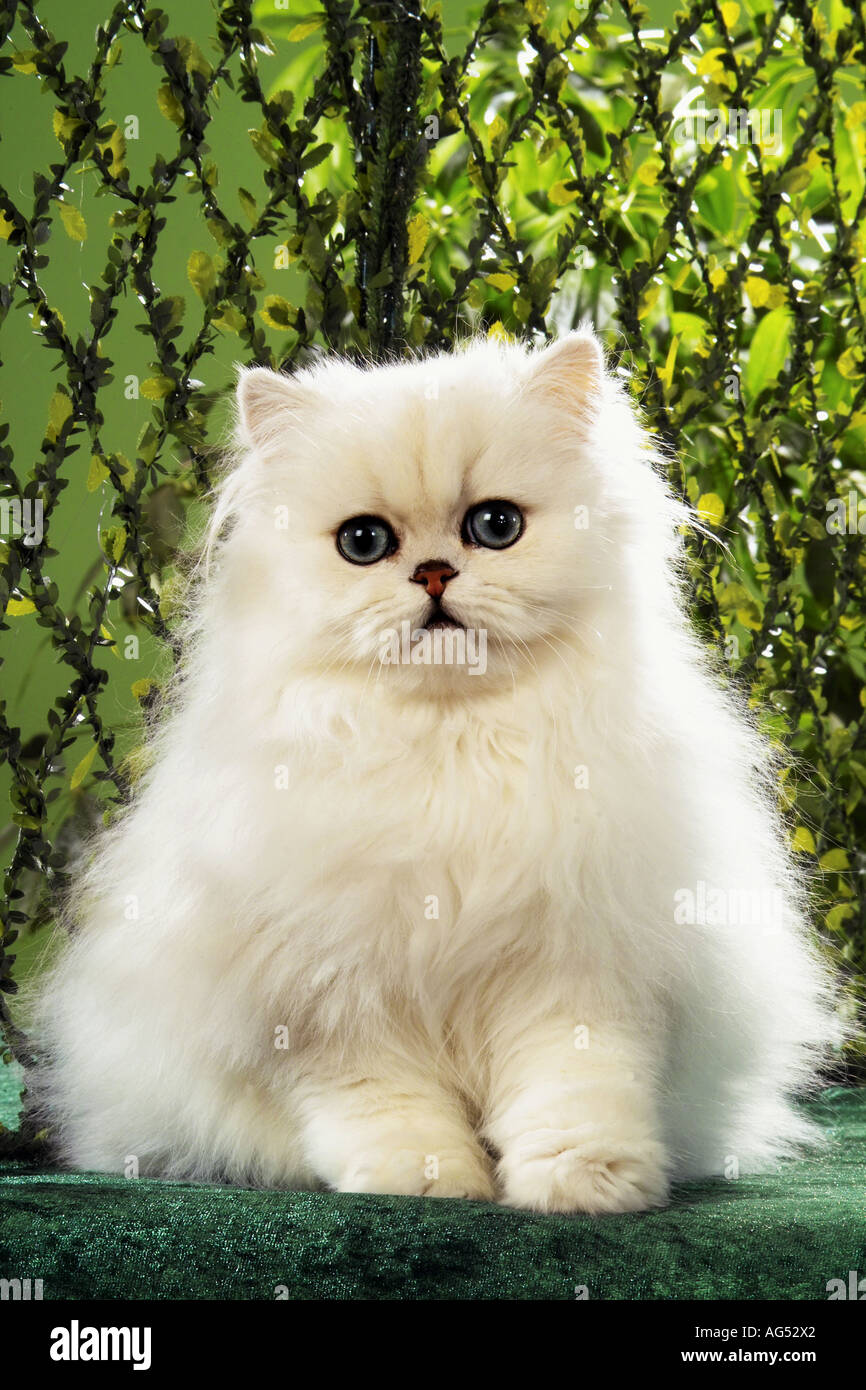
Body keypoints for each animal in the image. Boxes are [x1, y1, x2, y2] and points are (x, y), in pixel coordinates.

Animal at [30, 330, 845, 1212]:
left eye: (495, 526)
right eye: (363, 543)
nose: (432, 572)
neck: (451, 752)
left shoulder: (580, 972)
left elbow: (576, 1093)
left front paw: (585, 1186)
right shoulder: (333, 1002)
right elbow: (390, 1106)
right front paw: (424, 1183)